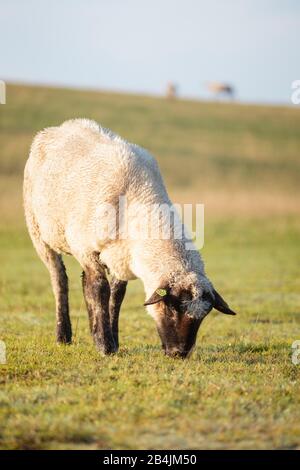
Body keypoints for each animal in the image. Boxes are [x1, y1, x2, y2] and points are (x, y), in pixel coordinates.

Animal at [23, 119, 236, 358]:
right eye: (171, 307)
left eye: (203, 316)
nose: (179, 353)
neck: (140, 194)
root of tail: (57, 128)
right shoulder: (86, 249)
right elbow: (100, 290)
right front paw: (105, 346)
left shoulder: (122, 257)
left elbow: (116, 295)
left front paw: (112, 340)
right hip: (38, 230)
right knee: (59, 279)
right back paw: (63, 336)